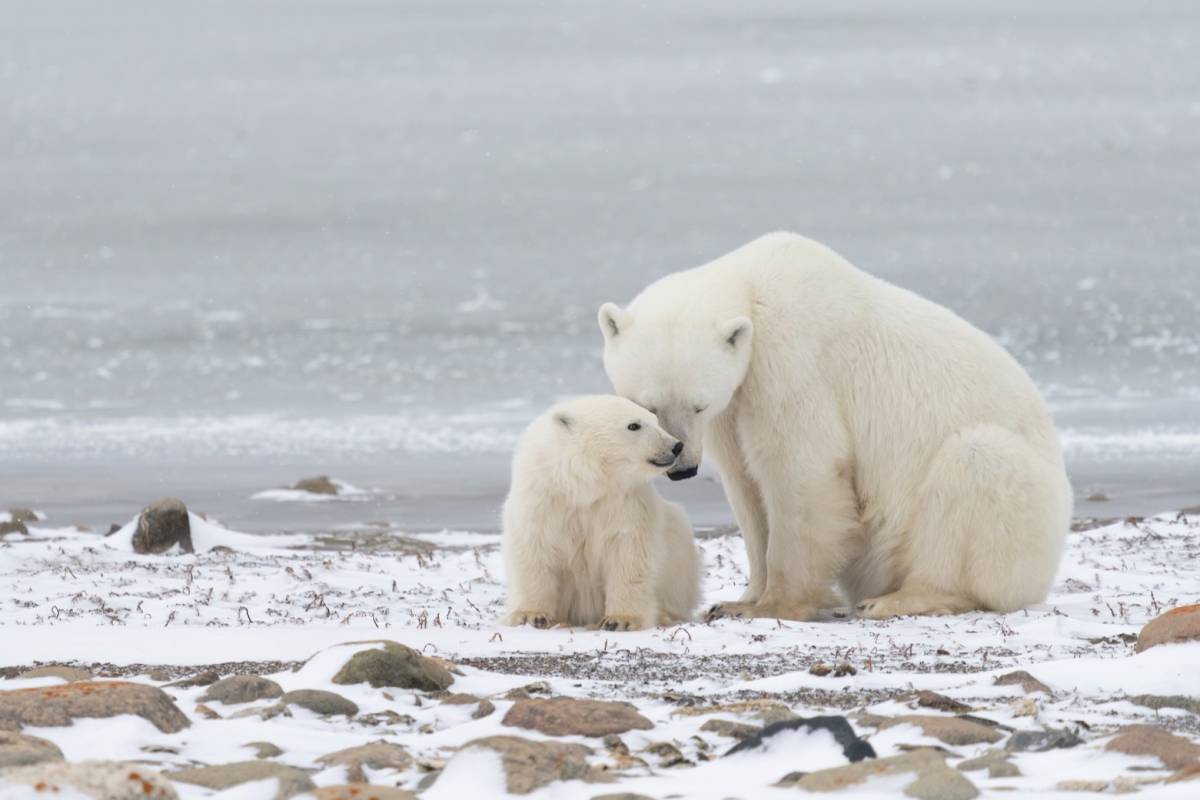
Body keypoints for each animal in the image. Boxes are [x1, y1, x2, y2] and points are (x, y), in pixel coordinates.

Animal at [501, 395, 702, 630]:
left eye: (654, 420)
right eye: (634, 425)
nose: (676, 446)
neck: (583, 484)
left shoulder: (624, 501)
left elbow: (628, 552)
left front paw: (621, 619)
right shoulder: (543, 498)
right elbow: (534, 551)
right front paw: (530, 615)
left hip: (678, 549)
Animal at [598, 232, 1072, 621]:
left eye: (698, 404)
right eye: (647, 406)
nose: (682, 467)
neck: (752, 286)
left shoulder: (791, 364)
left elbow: (800, 472)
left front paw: (773, 605)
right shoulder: (735, 406)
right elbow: (746, 486)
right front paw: (737, 600)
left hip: (1018, 515)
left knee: (976, 467)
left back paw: (896, 599)